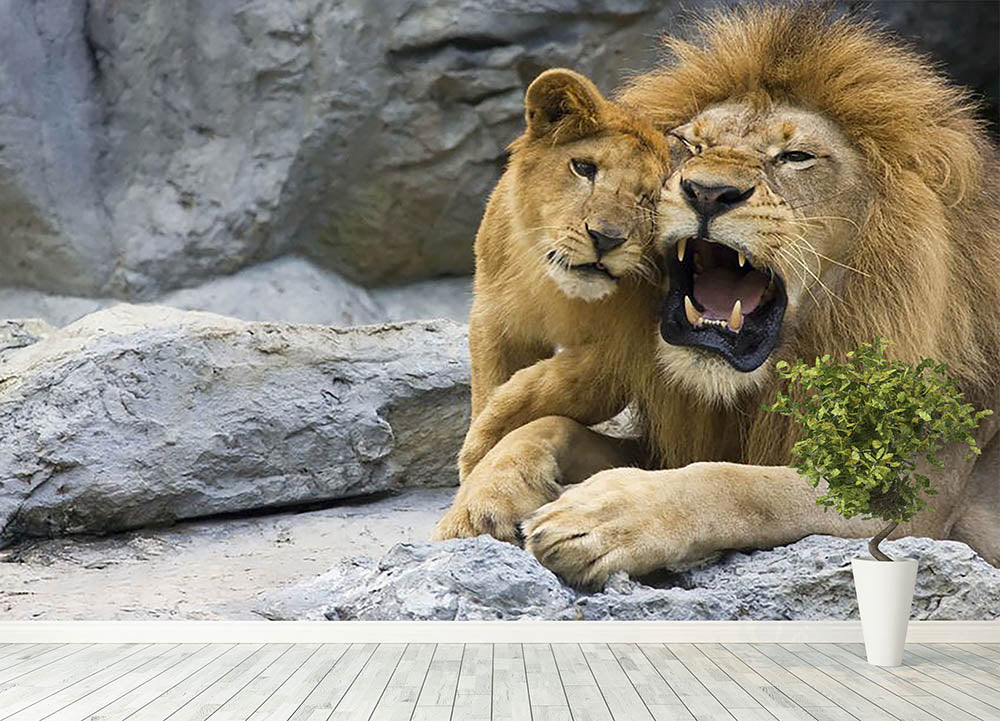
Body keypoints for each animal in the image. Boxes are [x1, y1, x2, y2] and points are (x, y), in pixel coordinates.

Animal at [432, 69, 671, 542]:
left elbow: (558, 385)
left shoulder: (633, 347)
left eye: (650, 197)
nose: (606, 238)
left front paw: (486, 440)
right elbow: (490, 384)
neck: (559, 292)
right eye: (584, 168)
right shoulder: (494, 320)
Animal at [464, 5, 1000, 588]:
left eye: (796, 156)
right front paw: (486, 490)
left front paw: (602, 515)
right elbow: (550, 424)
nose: (708, 192)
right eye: (692, 145)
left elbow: (741, 484)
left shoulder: (908, 494)